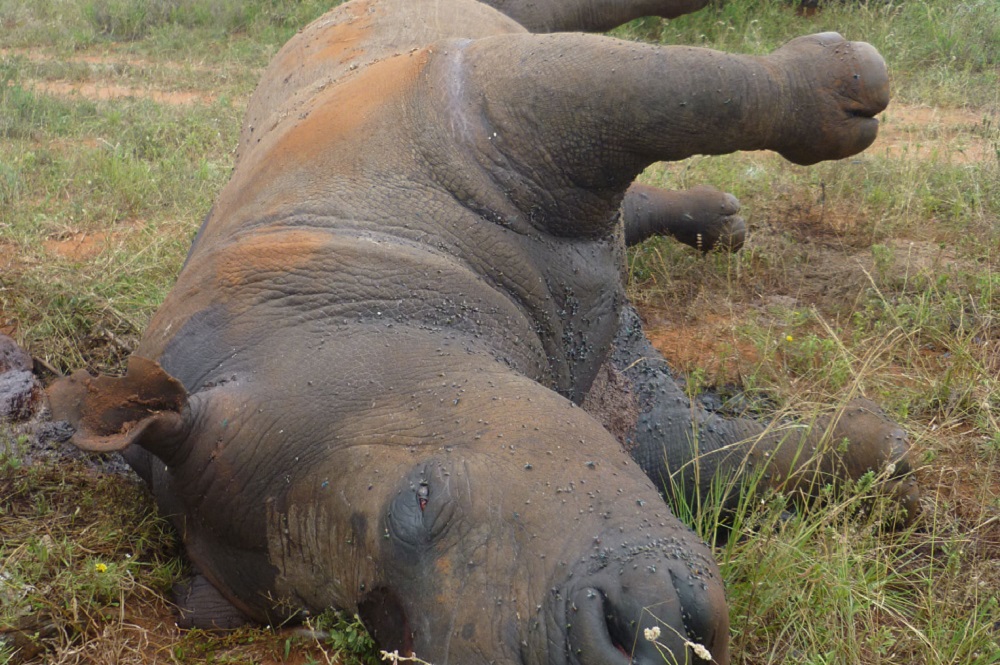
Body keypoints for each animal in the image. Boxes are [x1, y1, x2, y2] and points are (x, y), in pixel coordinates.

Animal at [50, 1, 916, 664]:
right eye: (377, 626)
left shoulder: (475, 106)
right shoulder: (606, 419)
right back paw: (718, 222)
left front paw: (841, 88)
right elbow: (710, 464)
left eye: (422, 497)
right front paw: (881, 452)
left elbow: (670, 98)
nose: (597, 646)